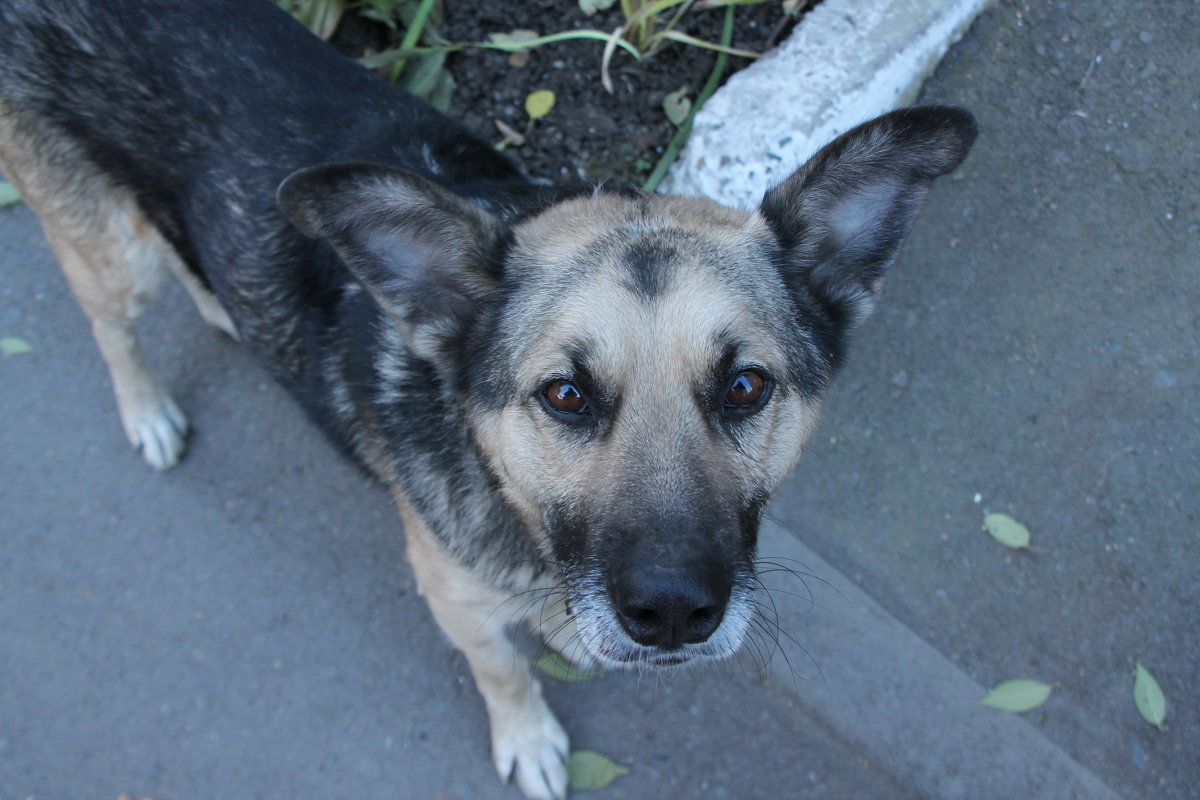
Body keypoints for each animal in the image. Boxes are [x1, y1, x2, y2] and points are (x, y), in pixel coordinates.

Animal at [0, 3, 974, 796]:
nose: (669, 616)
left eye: (745, 386)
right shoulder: (454, 599)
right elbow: (504, 672)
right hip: (110, 257)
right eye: (567, 394)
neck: (518, 512)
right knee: (110, 327)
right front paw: (529, 737)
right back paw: (146, 411)